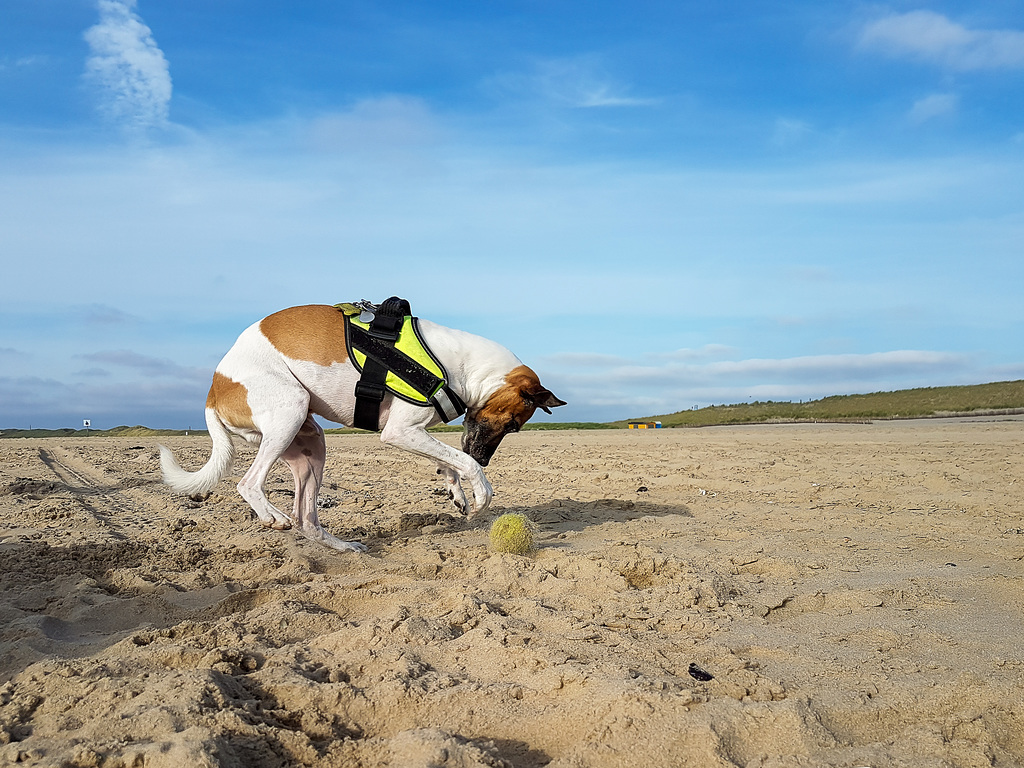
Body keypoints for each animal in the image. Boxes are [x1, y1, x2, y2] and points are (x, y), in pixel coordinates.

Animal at [157, 307, 569, 552]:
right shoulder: (400, 432)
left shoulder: (416, 434)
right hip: (290, 412)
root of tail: (214, 390)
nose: (485, 457)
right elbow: (462, 460)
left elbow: (450, 459)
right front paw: (481, 490)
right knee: (249, 483)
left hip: (310, 444)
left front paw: (457, 492)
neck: (462, 366)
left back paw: (341, 547)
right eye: (514, 424)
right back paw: (272, 516)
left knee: (307, 517)